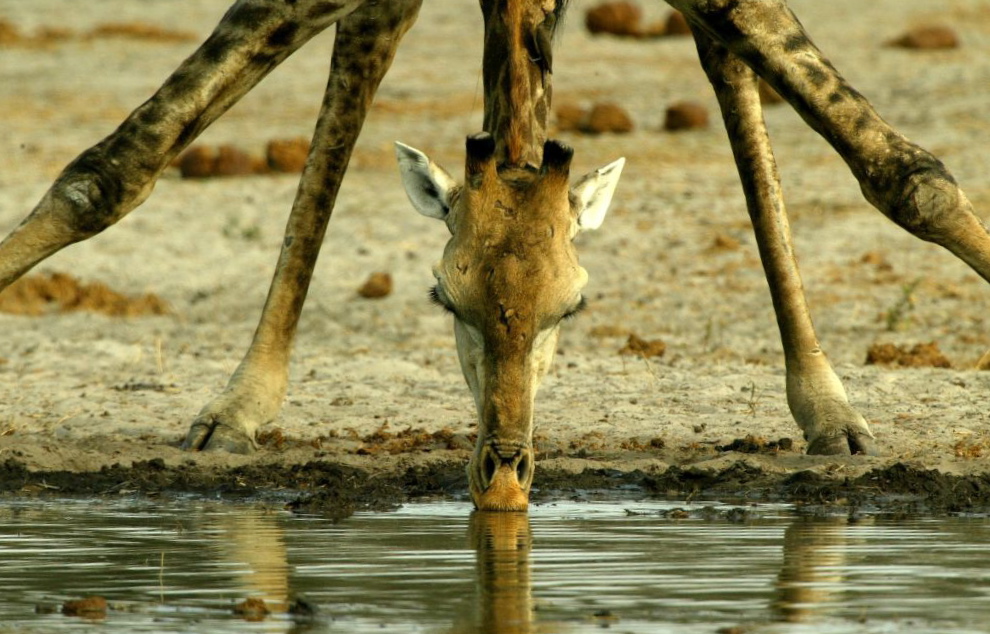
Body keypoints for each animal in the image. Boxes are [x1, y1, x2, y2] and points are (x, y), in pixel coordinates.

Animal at [0, 0, 988, 512]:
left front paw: (832, 413)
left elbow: (903, 171)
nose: (505, 482)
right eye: (445, 300)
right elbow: (121, 162)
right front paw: (235, 409)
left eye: (573, 308)